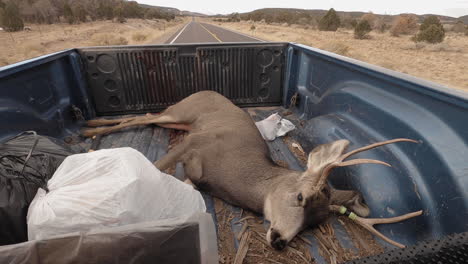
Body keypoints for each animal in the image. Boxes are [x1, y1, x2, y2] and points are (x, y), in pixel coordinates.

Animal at [81, 91, 424, 250]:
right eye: (299, 197)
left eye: (314, 225)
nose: (280, 241)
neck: (230, 172)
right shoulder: (196, 143)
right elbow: (154, 167)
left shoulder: (194, 172)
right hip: (183, 115)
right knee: (142, 118)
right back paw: (90, 129)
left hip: (179, 121)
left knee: (147, 117)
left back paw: (91, 127)